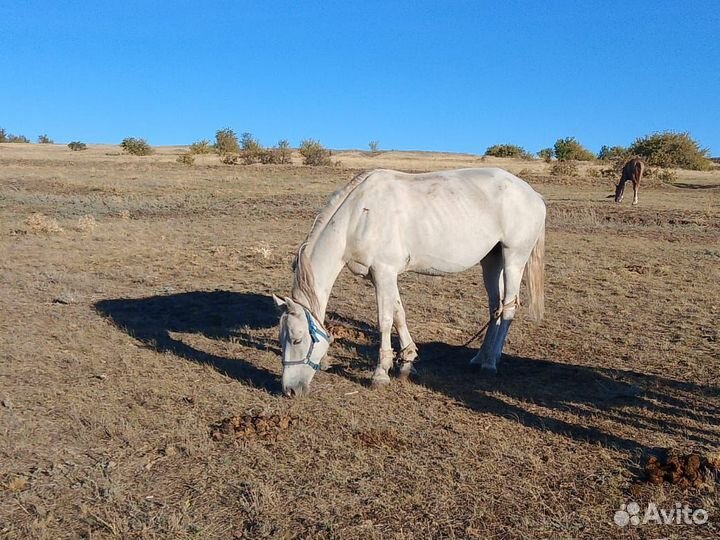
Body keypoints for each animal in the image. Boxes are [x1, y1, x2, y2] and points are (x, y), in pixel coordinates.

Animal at [276, 168, 544, 396]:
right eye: (281, 338)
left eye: (297, 338)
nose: (290, 390)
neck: (359, 216)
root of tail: (534, 195)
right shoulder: (383, 276)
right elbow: (398, 315)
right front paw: (406, 362)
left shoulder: (384, 272)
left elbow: (384, 321)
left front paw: (380, 374)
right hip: (492, 260)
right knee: (495, 307)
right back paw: (481, 358)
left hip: (514, 259)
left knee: (508, 308)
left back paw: (489, 364)